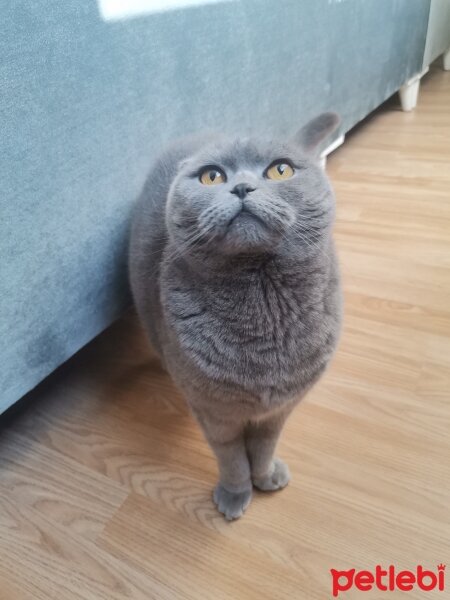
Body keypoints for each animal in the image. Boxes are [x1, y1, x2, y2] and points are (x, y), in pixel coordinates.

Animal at [129, 113, 342, 520]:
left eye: (280, 170)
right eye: (211, 176)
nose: (242, 187)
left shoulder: (281, 407)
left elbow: (264, 445)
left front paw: (267, 476)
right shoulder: (214, 410)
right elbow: (231, 458)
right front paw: (235, 493)